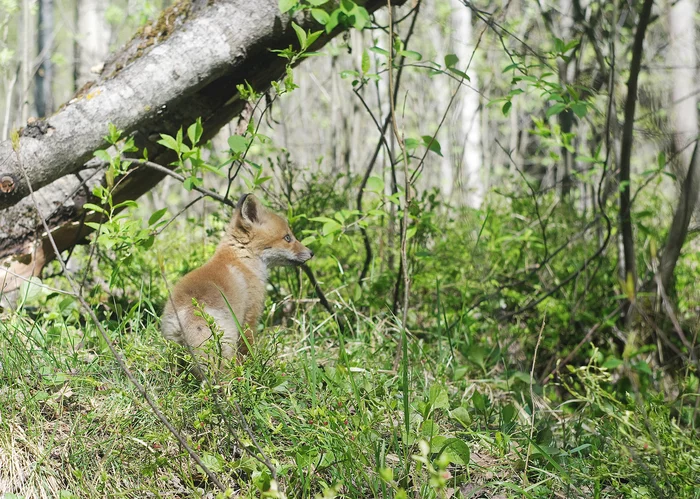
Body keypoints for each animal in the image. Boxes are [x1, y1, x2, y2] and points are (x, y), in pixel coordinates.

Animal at [160, 193, 314, 366]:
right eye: (287, 238)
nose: (311, 252)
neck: (242, 260)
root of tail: (185, 310)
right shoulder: (251, 313)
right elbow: (248, 346)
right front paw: (253, 365)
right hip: (222, 347)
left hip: (177, 357)